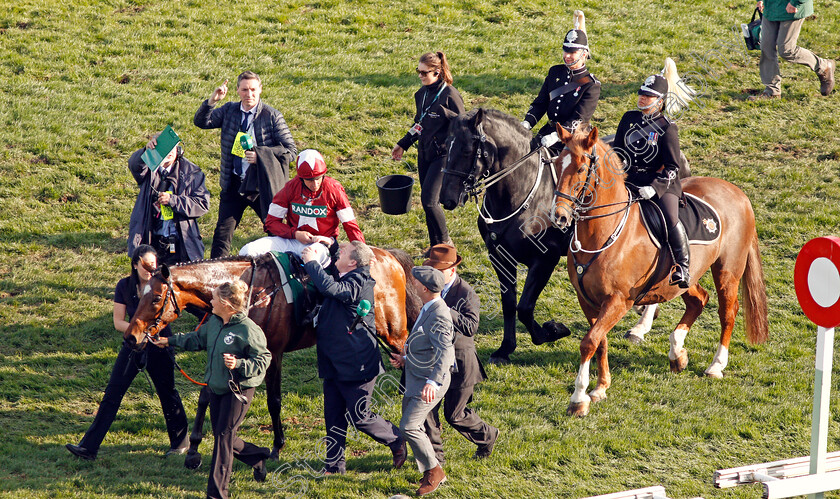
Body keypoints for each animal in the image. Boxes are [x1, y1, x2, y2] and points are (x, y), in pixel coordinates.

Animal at [123, 248, 420, 462]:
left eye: (156, 298)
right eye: (139, 293)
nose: (131, 337)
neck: (251, 292)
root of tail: (388, 255)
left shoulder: (272, 354)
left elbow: (274, 401)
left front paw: (277, 446)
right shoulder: (222, 352)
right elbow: (206, 394)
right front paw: (194, 445)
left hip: (392, 330)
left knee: (408, 354)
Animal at [552, 125, 768, 418]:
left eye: (581, 168)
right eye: (556, 164)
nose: (559, 216)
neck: (604, 233)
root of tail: (737, 192)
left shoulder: (619, 301)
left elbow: (589, 342)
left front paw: (578, 399)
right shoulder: (587, 301)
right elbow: (599, 341)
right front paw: (600, 388)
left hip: (727, 271)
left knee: (727, 311)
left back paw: (716, 365)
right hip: (682, 279)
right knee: (699, 300)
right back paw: (677, 353)